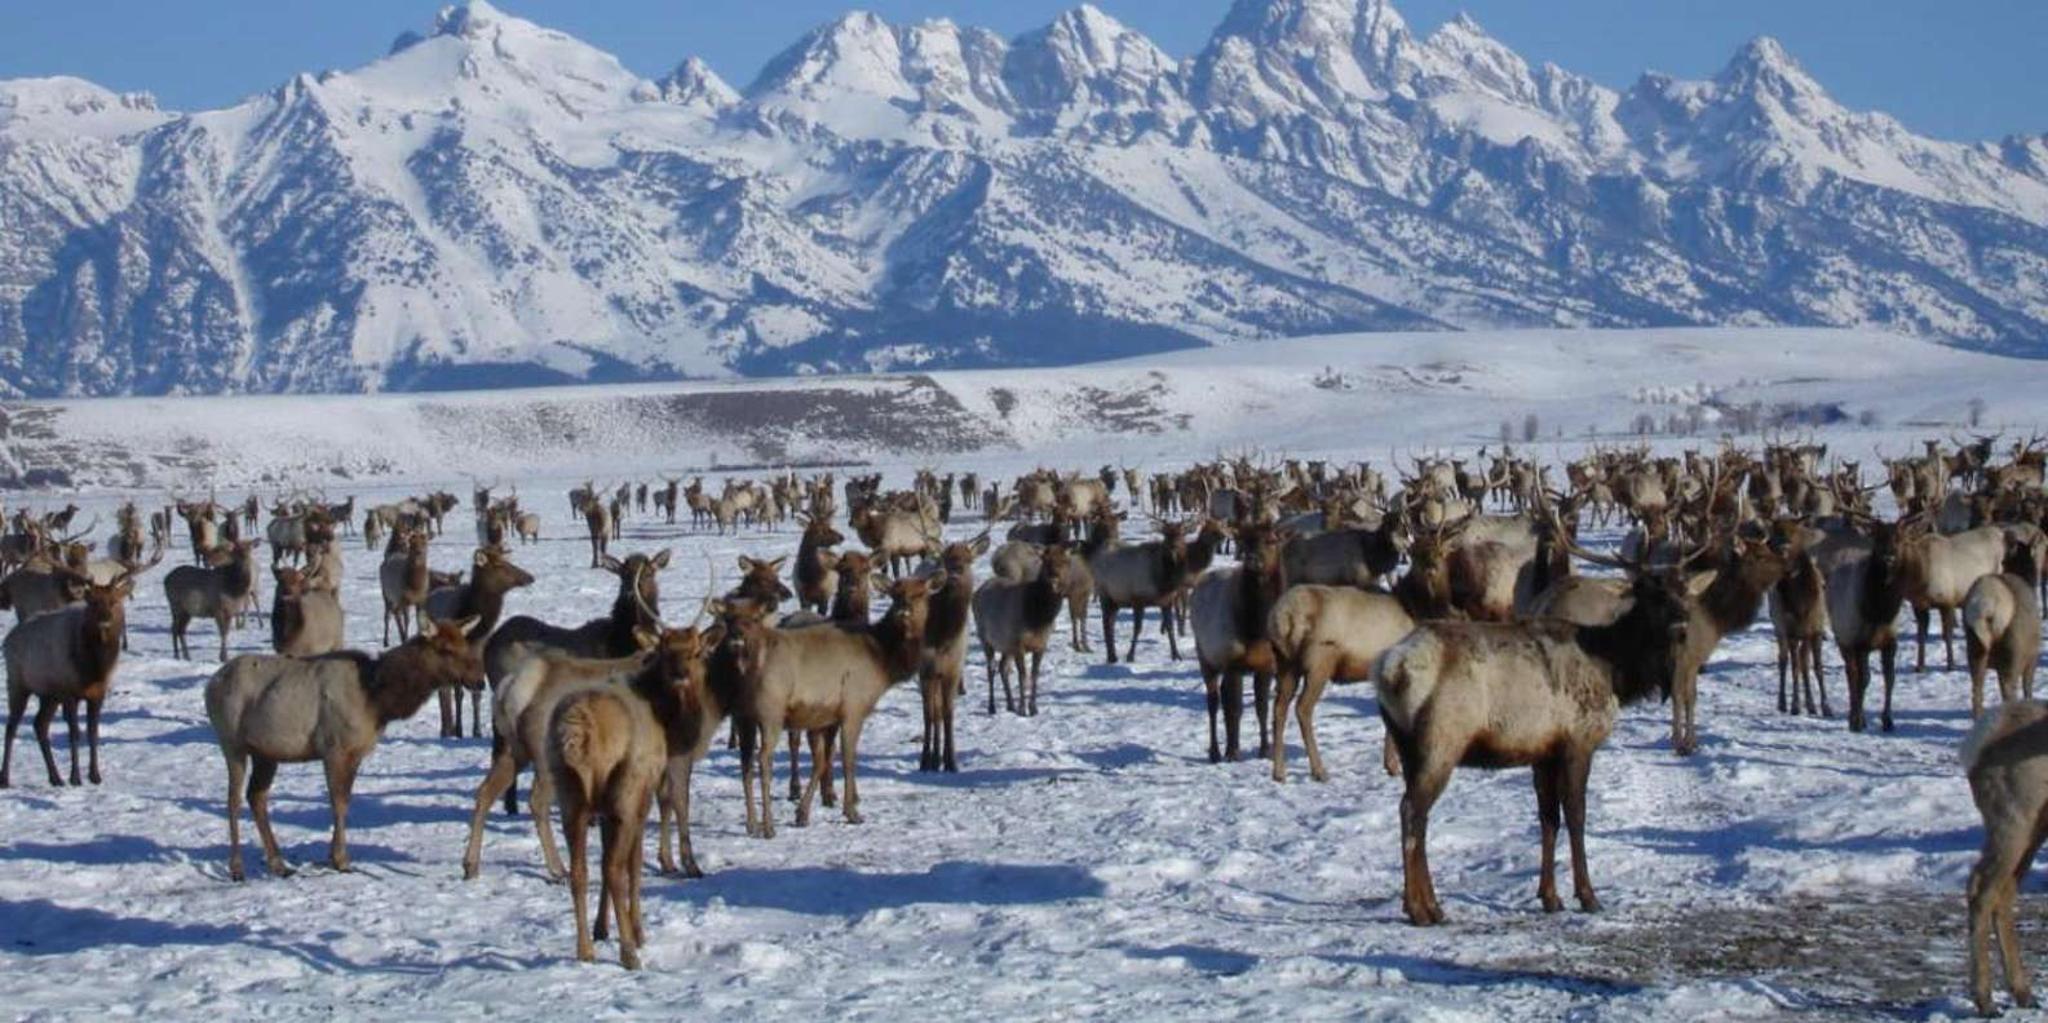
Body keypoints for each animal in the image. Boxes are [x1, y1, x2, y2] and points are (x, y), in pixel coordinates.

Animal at [1, 580, 132, 788]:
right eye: (92, 602)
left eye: (113, 601)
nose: (105, 620)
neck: (93, 669)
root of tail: (7, 640)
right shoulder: (70, 693)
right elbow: (75, 734)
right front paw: (76, 778)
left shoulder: (98, 694)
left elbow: (93, 733)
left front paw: (95, 776)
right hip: (17, 683)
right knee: (11, 728)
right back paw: (5, 779)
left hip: (49, 696)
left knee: (40, 725)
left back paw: (55, 777)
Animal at [206, 614, 481, 880]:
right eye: (445, 649)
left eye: (466, 645)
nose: (478, 680)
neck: (377, 699)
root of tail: (211, 684)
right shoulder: (334, 748)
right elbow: (337, 803)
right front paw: (340, 860)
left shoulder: (356, 751)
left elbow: (346, 801)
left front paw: (335, 856)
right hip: (232, 742)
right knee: (233, 799)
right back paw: (237, 868)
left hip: (266, 753)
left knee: (256, 796)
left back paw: (278, 864)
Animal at [1378, 566, 1705, 925]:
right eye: (1651, 595)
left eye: (1684, 592)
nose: (1682, 624)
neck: (1616, 671)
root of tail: (1389, 672)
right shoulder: (1578, 741)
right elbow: (1576, 816)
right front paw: (1588, 896)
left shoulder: (1543, 752)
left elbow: (1549, 818)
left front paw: (1550, 897)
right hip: (1440, 742)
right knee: (1411, 811)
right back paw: (1418, 909)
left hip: (1409, 748)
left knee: (1418, 817)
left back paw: (1432, 906)